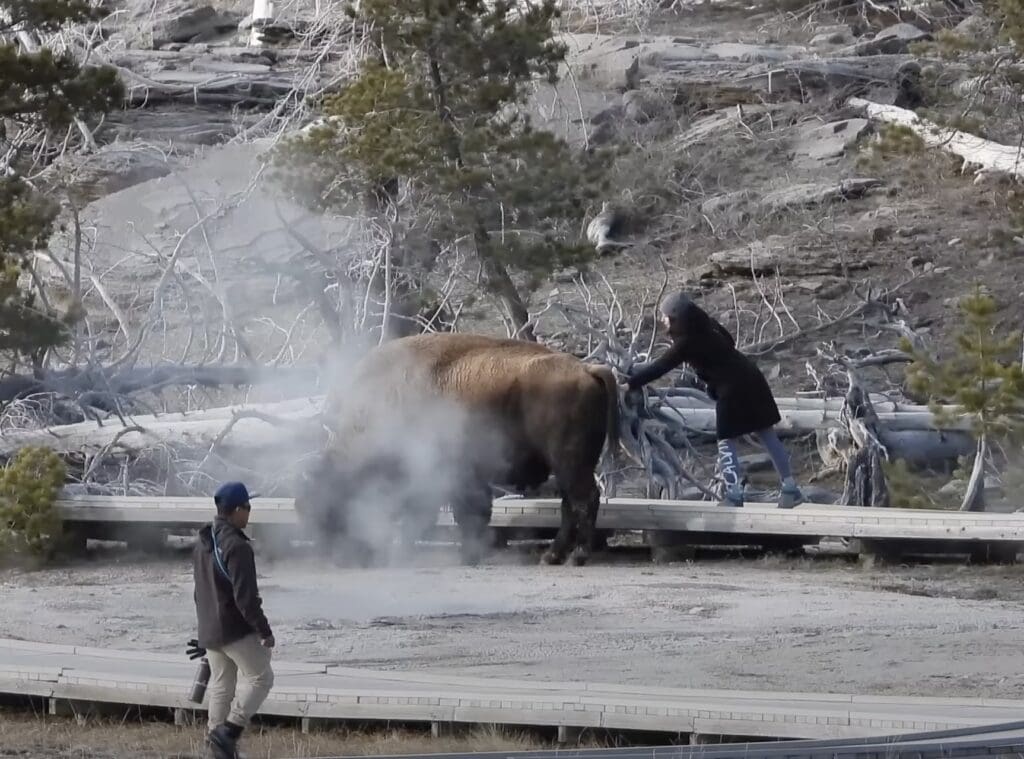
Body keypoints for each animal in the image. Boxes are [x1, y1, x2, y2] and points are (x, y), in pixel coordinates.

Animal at [296, 332, 620, 566]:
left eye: (333, 504)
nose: (340, 558)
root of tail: (587, 368)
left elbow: (456, 513)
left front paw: (463, 555)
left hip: (569, 463)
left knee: (583, 500)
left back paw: (575, 557)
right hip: (569, 466)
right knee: (570, 504)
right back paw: (553, 557)